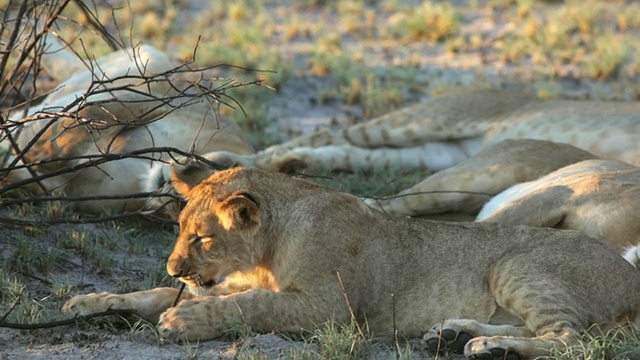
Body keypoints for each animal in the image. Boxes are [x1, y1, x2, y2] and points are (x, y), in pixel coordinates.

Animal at [63, 167, 640, 358]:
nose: (174, 268)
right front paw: (89, 302)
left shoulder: (329, 308)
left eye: (202, 238)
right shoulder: (233, 282)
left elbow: (251, 307)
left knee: (572, 339)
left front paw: (182, 320)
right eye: (179, 231)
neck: (266, 253)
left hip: (515, 266)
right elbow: (147, 295)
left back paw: (485, 345)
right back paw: (453, 336)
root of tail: (632, 277)